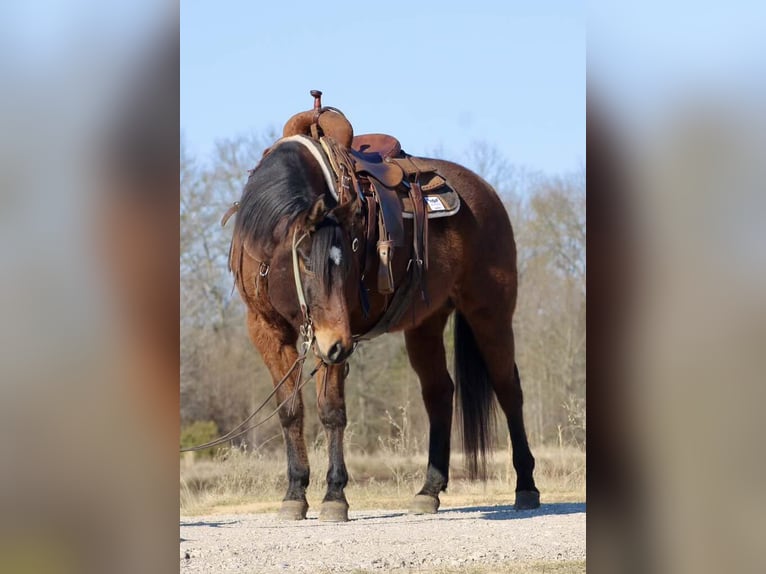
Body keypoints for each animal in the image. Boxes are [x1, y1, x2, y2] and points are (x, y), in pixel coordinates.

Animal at [227, 94, 539, 522]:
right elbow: (290, 411)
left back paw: (526, 487)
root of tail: (486, 193)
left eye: (351, 254)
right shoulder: (268, 331)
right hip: (424, 324)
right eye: (304, 259)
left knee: (508, 388)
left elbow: (331, 410)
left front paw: (334, 496)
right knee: (439, 392)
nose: (336, 344)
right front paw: (294, 495)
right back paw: (428, 491)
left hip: (490, 313)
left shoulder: (333, 336)